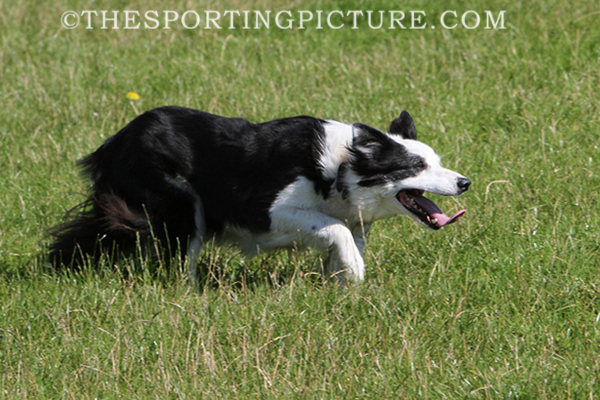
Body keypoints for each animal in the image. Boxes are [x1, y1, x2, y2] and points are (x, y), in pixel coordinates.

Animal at [49, 107, 470, 284]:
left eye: (437, 162)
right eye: (415, 166)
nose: (464, 182)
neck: (340, 169)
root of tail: (112, 143)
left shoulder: (351, 219)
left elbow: (344, 241)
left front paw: (341, 287)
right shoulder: (269, 209)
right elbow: (337, 230)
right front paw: (356, 272)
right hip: (182, 205)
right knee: (181, 257)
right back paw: (192, 294)